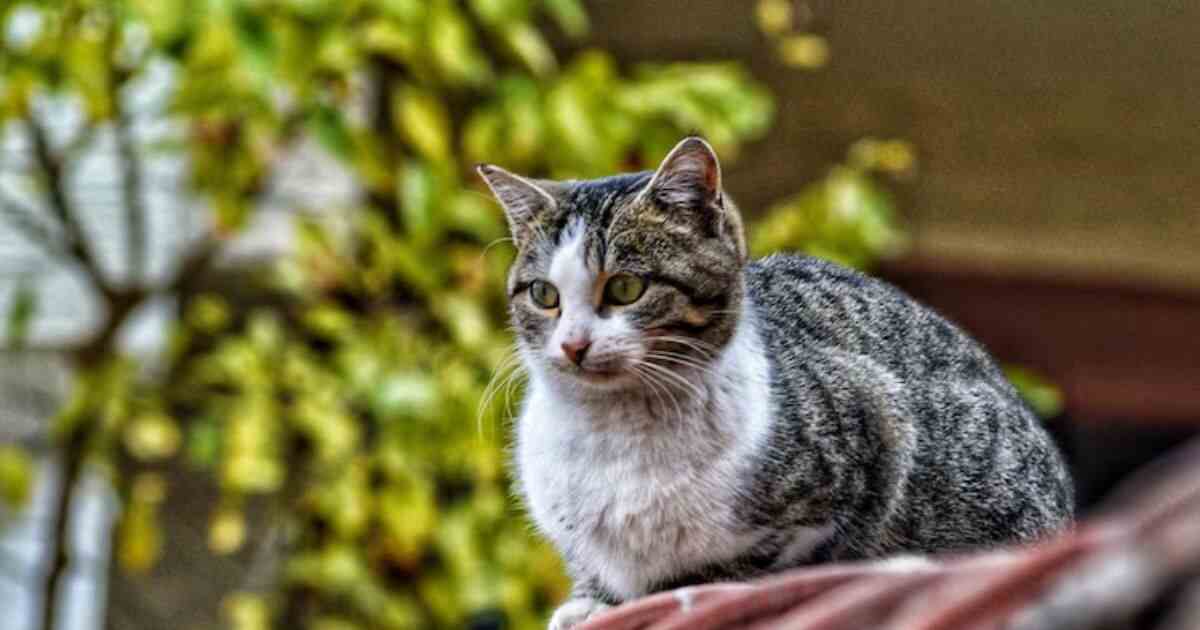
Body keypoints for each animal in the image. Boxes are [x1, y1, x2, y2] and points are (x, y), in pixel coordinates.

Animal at [472, 135, 1075, 624]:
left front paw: (682, 585)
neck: (614, 431)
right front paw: (592, 601)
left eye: (624, 288)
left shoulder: (873, 433)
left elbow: (749, 563)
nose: (573, 345)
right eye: (544, 295)